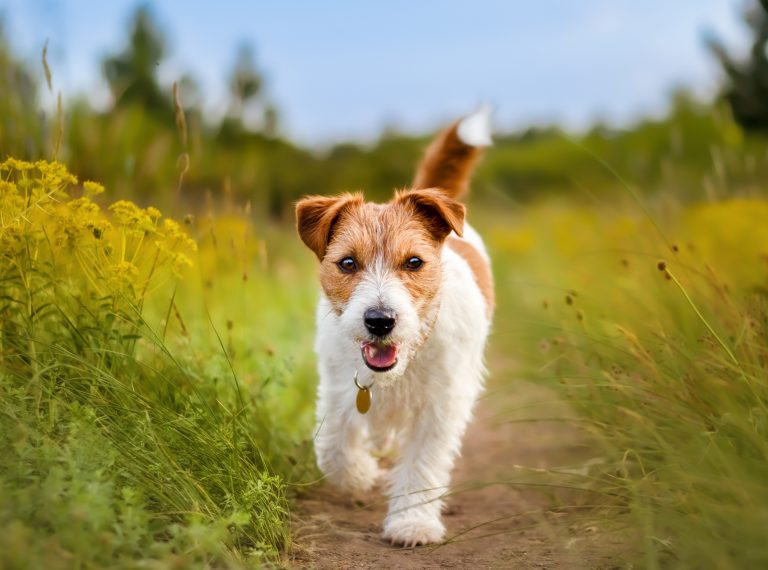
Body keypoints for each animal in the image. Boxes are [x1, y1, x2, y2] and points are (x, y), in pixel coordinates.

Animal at [294, 107, 492, 544]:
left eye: (414, 262)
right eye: (347, 262)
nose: (380, 321)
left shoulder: (441, 406)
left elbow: (422, 466)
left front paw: (412, 523)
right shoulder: (337, 390)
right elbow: (333, 447)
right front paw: (360, 475)